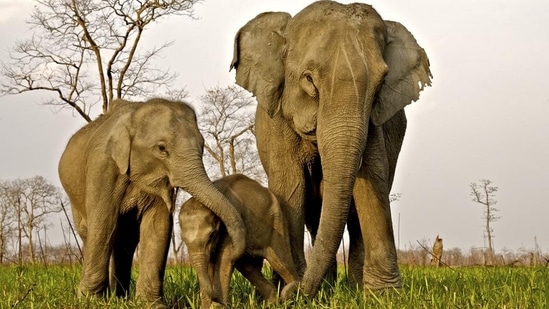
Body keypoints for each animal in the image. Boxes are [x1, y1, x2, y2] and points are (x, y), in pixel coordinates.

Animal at [57, 97, 244, 306]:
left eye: (203, 145)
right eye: (162, 148)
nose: (215, 299)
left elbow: (158, 224)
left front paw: (151, 304)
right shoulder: (102, 166)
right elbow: (103, 221)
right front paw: (91, 302)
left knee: (126, 240)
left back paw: (120, 297)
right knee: (91, 232)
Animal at [181, 173, 298, 308]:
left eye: (212, 235)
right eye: (183, 239)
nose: (214, 297)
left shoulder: (231, 223)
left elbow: (224, 258)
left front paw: (218, 306)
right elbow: (212, 262)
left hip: (278, 224)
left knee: (280, 263)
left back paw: (292, 293)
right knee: (248, 267)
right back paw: (272, 303)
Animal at [229, 1, 430, 298]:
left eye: (380, 84)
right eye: (309, 80)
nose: (295, 293)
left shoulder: (374, 124)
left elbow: (372, 181)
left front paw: (384, 296)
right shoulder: (277, 122)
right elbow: (291, 186)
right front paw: (292, 288)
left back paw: (351, 288)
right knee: (315, 212)